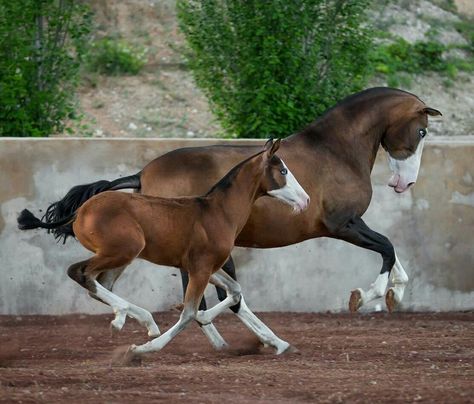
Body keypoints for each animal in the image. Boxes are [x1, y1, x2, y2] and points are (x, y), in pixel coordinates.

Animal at [17, 140, 308, 356]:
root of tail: (80, 211)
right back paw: (134, 320)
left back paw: (135, 320)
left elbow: (235, 291)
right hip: (123, 250)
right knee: (80, 273)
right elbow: (190, 311)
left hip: (121, 256)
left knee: (99, 283)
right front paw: (143, 349)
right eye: (283, 171)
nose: (305, 200)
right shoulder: (201, 268)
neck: (218, 211)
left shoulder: (204, 267)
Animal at [39, 85, 442, 318]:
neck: (335, 150)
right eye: (421, 131)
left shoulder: (351, 224)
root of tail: (142, 174)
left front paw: (395, 295)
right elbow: (387, 247)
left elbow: (392, 250)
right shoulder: (341, 223)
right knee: (197, 294)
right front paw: (364, 296)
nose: (404, 183)